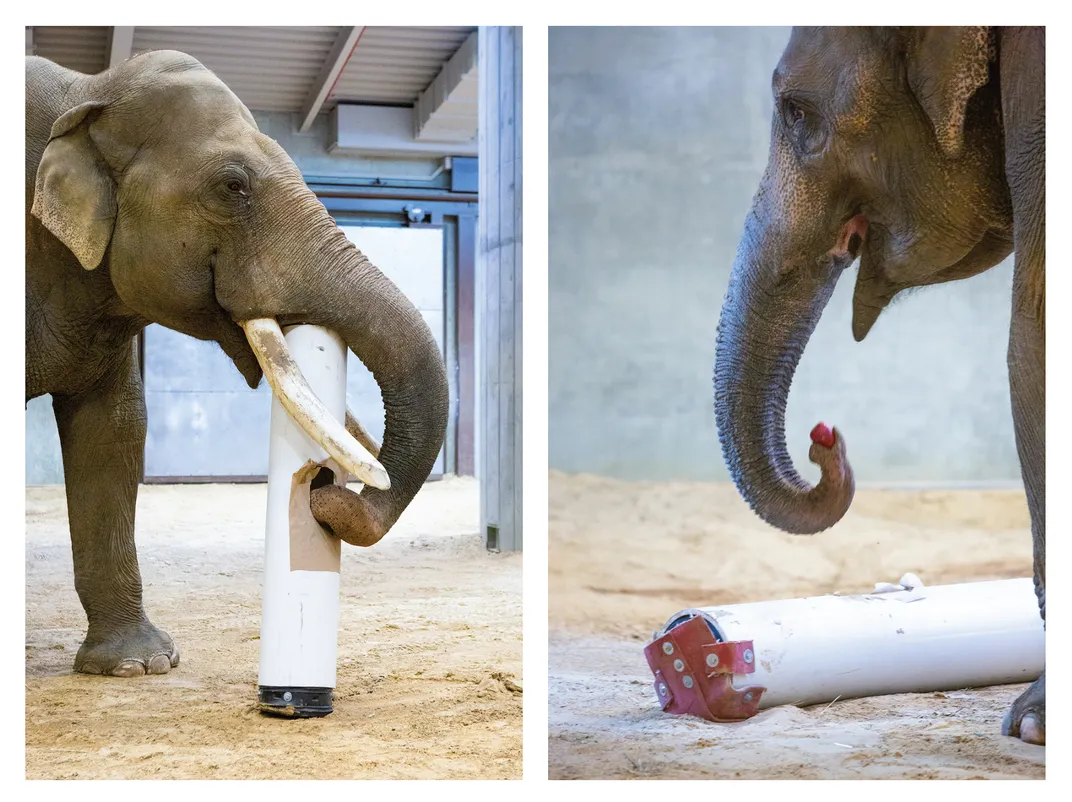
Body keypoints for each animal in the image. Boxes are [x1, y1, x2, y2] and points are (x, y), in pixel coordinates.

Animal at [26, 48, 448, 677]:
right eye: (232, 186)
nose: (329, 499)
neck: (89, 91)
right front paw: (142, 666)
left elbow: (114, 427)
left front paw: (138, 667)